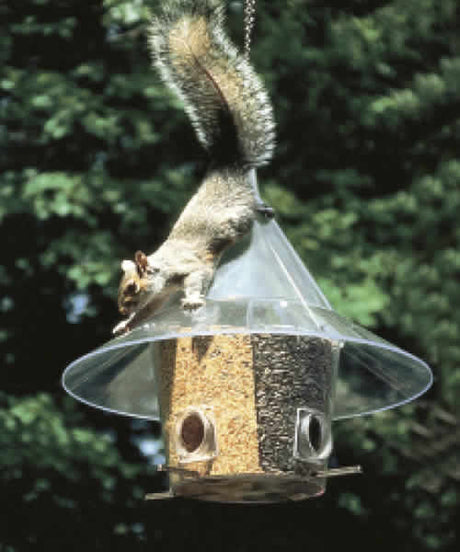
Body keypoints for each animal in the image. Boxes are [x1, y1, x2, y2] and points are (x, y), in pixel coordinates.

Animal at [113, 0, 274, 336]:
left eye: (132, 287)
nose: (120, 308)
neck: (162, 269)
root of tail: (226, 165)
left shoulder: (191, 268)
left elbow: (197, 279)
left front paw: (191, 301)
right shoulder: (161, 294)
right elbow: (149, 312)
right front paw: (125, 325)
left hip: (237, 218)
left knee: (251, 209)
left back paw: (263, 209)